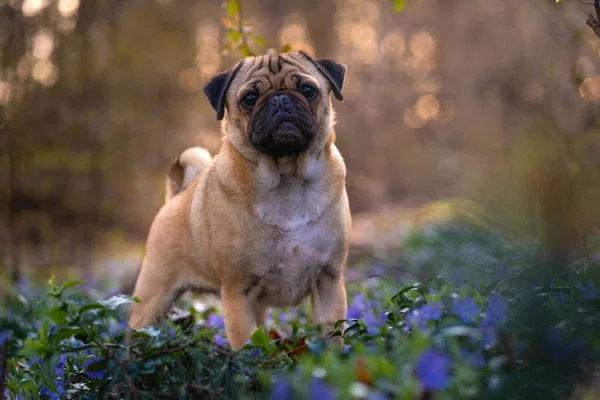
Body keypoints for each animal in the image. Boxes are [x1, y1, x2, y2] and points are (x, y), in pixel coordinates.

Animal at [127, 50, 352, 350]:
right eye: (250, 98)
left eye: (308, 90)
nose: (280, 100)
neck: (286, 180)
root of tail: (177, 195)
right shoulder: (238, 292)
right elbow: (247, 344)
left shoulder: (329, 280)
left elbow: (331, 337)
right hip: (153, 297)